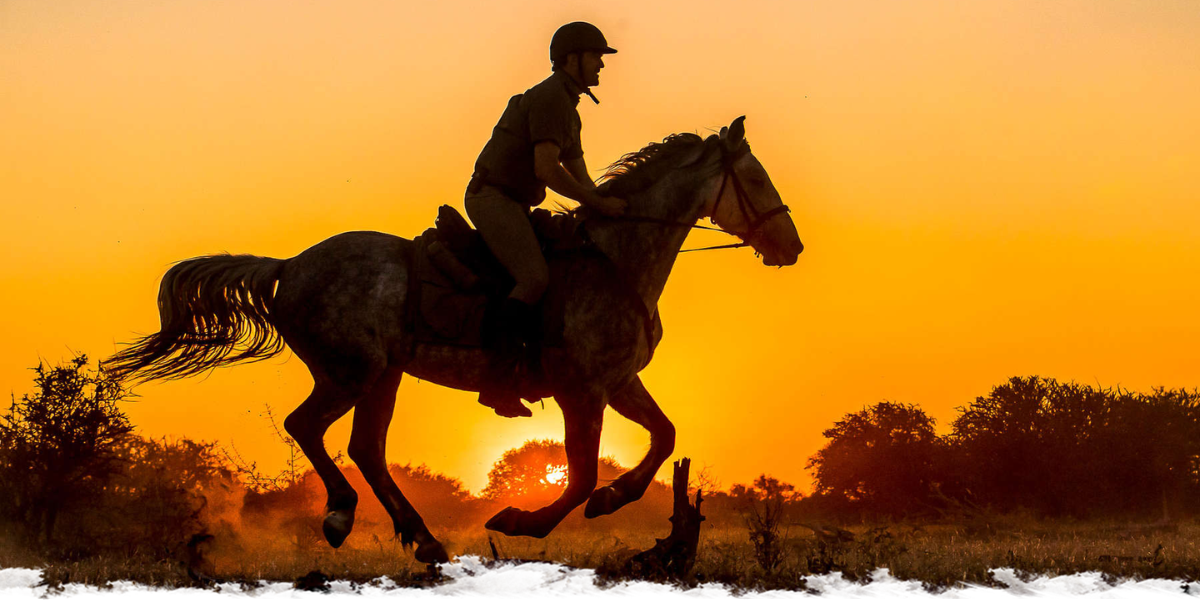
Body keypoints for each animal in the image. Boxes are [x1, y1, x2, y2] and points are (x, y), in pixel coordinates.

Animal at [100, 115, 796, 561]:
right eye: (758, 179)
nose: (792, 247)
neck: (616, 258)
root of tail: (289, 266)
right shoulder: (582, 389)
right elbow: (576, 475)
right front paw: (523, 520)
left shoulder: (619, 381)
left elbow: (663, 437)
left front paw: (612, 500)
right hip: (350, 369)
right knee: (309, 427)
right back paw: (341, 515)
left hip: (382, 374)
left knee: (365, 447)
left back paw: (423, 539)